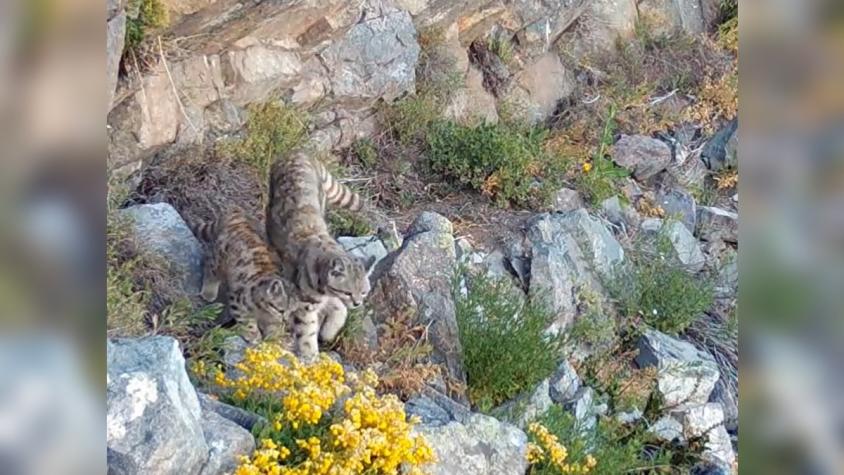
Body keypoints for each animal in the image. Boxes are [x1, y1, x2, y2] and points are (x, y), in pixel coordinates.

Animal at [266, 152, 374, 360]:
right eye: (348, 292)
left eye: (364, 292)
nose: (357, 303)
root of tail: (299, 153)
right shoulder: (306, 305)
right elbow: (307, 330)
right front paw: (310, 355)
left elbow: (339, 309)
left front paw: (329, 331)